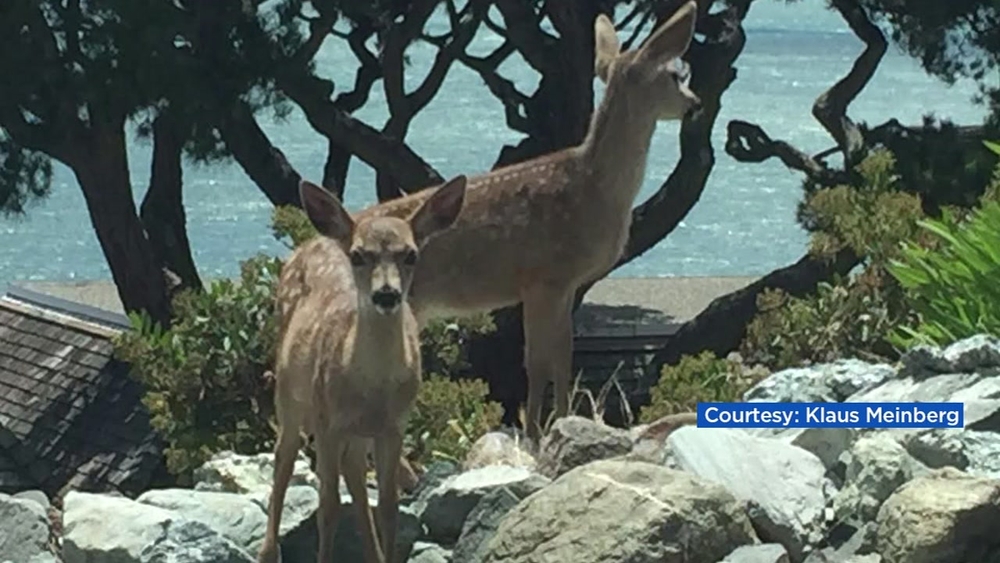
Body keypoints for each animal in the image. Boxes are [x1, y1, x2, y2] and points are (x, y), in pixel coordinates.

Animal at [257, 175, 468, 563]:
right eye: (358, 255)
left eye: (411, 254)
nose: (386, 294)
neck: (373, 388)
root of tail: (315, 240)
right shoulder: (327, 422)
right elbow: (327, 507)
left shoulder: (394, 426)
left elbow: (388, 506)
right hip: (289, 393)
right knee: (284, 459)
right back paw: (268, 552)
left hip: (355, 431)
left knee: (353, 471)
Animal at [351, 2, 702, 443]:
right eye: (675, 75)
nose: (697, 104)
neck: (595, 189)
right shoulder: (540, 277)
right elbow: (535, 362)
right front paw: (534, 432)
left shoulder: (566, 283)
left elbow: (563, 358)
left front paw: (565, 420)